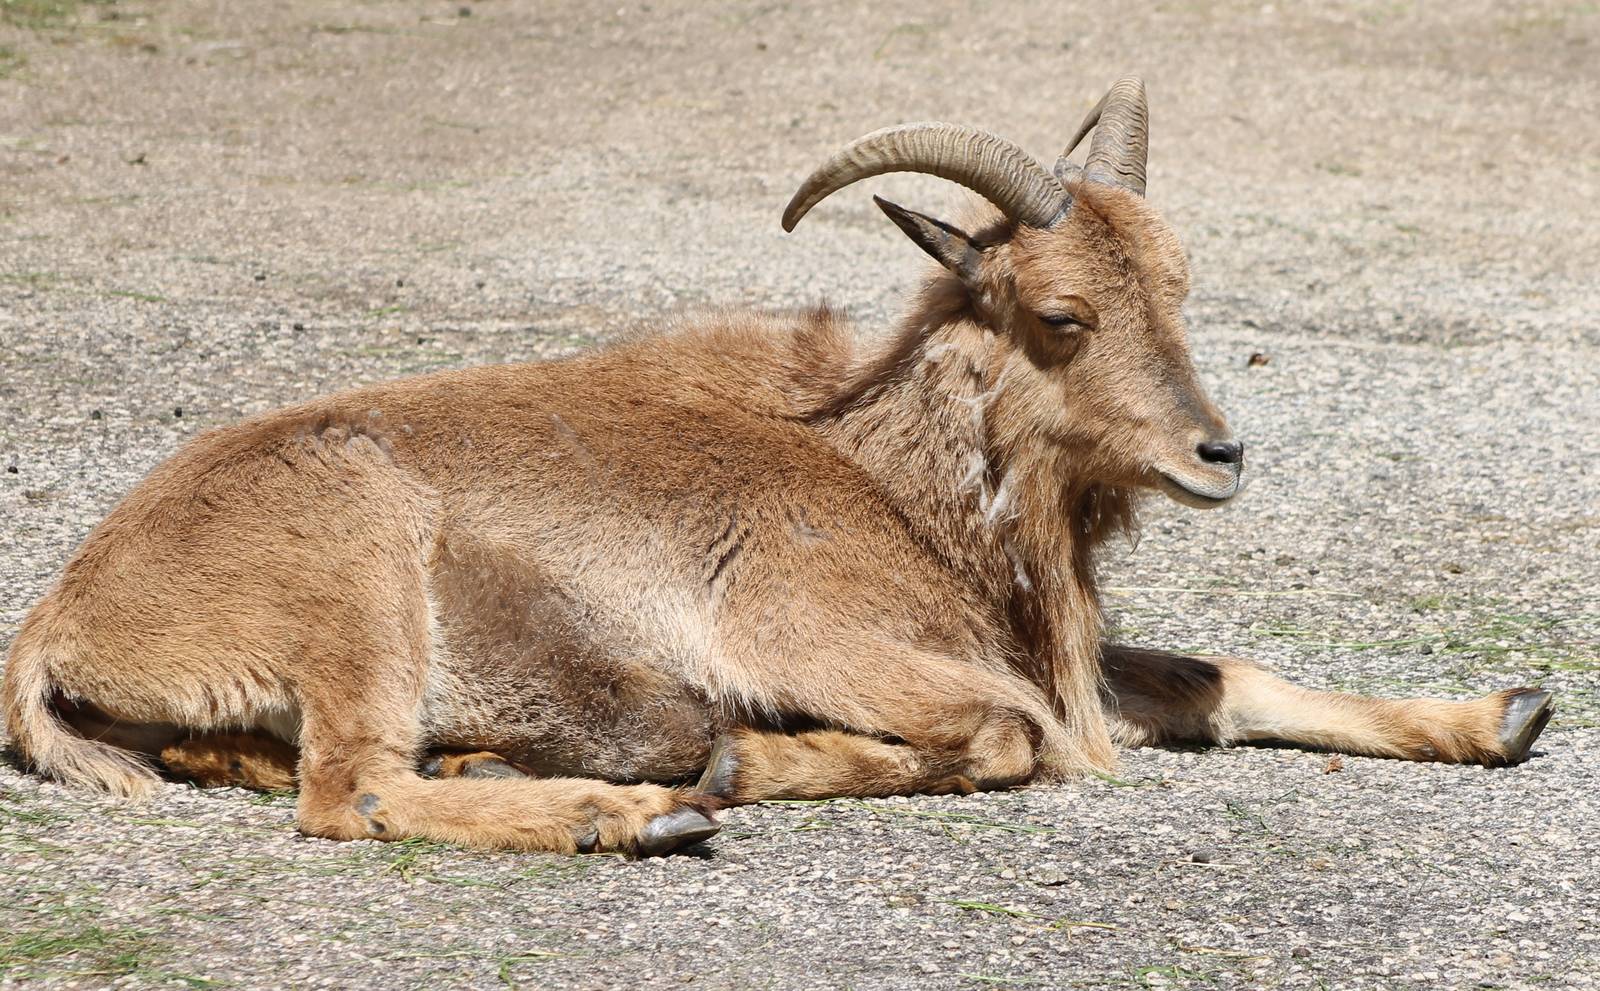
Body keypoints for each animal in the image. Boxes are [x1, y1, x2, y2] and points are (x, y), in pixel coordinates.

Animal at [0, 78, 1554, 856]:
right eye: (1062, 314)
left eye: (1178, 281)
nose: (1217, 452)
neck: (882, 473)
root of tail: (67, 613)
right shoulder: (826, 636)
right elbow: (1002, 737)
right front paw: (758, 758)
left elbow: (1221, 679)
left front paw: (1501, 712)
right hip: (360, 572)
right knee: (355, 791)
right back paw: (630, 816)